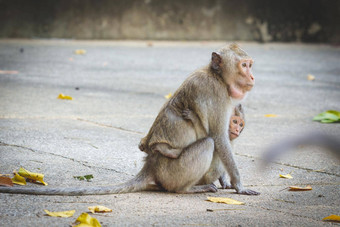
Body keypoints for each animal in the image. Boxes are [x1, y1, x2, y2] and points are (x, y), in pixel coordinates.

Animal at [0, 44, 258, 195]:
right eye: (244, 65)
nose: (253, 76)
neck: (217, 76)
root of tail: (150, 166)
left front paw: (227, 181)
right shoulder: (216, 94)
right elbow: (219, 138)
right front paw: (239, 185)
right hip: (173, 172)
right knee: (209, 144)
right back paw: (187, 189)